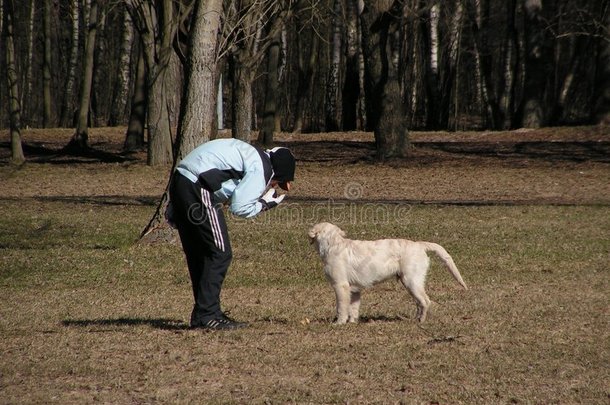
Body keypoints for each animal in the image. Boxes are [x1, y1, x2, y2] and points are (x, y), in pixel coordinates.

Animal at [308, 223, 466, 324]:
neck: (333, 244)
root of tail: (419, 244)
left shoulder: (341, 286)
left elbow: (341, 307)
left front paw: (339, 323)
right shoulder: (355, 290)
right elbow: (353, 308)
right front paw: (352, 322)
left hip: (411, 281)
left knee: (426, 301)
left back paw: (421, 321)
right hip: (411, 284)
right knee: (419, 303)